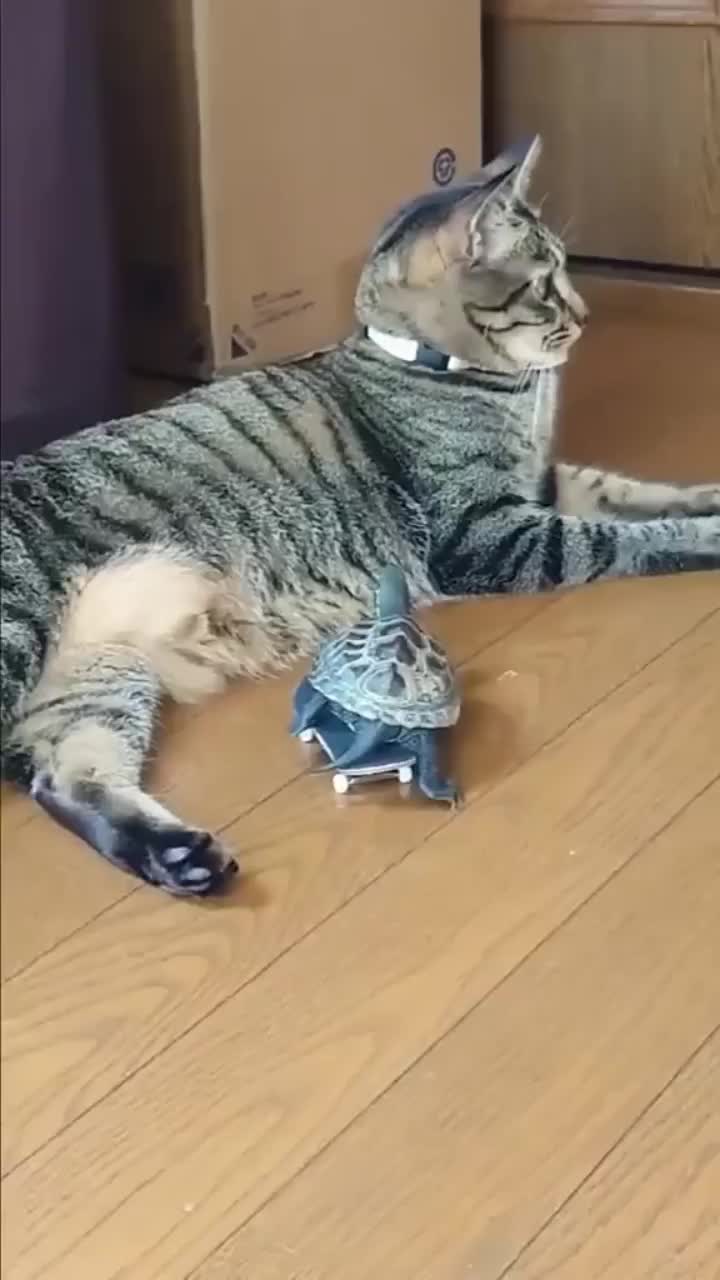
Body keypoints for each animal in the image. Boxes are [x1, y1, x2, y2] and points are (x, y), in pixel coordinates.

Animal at [2, 137, 712, 890]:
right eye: (546, 283)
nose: (584, 315)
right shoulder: (491, 533)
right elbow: (629, 537)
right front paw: (705, 533)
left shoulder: (544, 487)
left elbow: (635, 493)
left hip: (97, 683)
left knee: (65, 776)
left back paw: (179, 858)